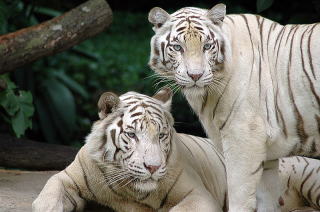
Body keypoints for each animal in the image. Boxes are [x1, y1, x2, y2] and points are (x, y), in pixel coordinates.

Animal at [31, 88, 320, 212]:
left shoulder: (198, 195)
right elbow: (48, 194)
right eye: (132, 134)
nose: (153, 167)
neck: (128, 189)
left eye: (160, 135)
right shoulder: (67, 177)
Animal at [148, 3, 320, 212]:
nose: (195, 75)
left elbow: (239, 197)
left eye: (207, 46)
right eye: (177, 47)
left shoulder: (243, 141)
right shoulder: (267, 157)